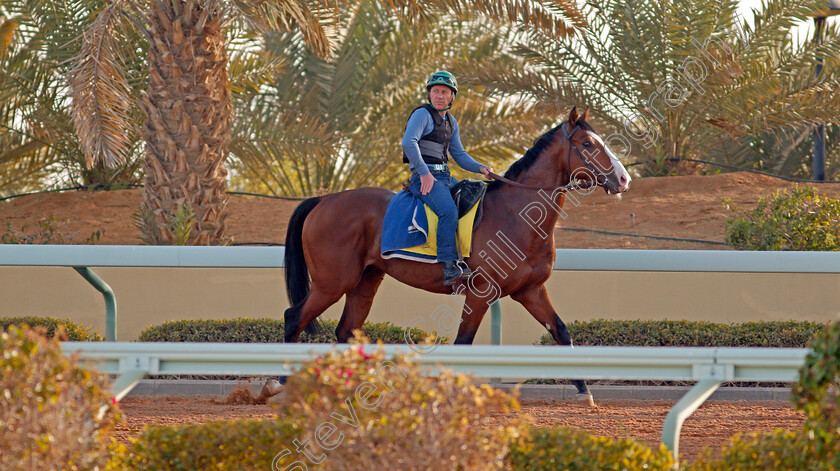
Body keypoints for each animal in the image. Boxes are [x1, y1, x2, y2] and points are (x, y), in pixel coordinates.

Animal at [276, 108, 632, 406]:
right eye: (587, 144)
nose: (624, 179)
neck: (516, 214)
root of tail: (324, 200)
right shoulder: (481, 292)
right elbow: (463, 342)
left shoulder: (531, 291)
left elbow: (561, 331)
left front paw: (584, 390)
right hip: (332, 282)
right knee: (294, 317)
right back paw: (279, 384)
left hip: (364, 282)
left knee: (346, 331)